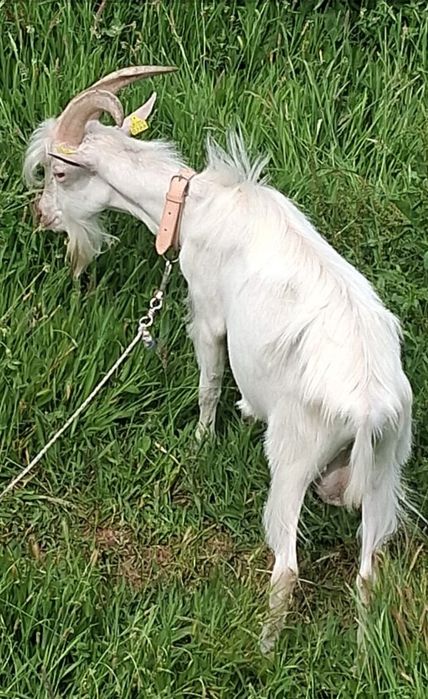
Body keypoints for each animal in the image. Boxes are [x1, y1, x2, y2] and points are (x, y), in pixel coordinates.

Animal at [24, 66, 413, 652]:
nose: (41, 217)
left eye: (58, 173)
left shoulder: (207, 311)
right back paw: (365, 655)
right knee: (368, 574)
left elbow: (209, 381)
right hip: (385, 468)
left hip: (294, 457)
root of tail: (370, 408)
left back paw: (265, 652)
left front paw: (201, 441)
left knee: (288, 568)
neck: (194, 203)